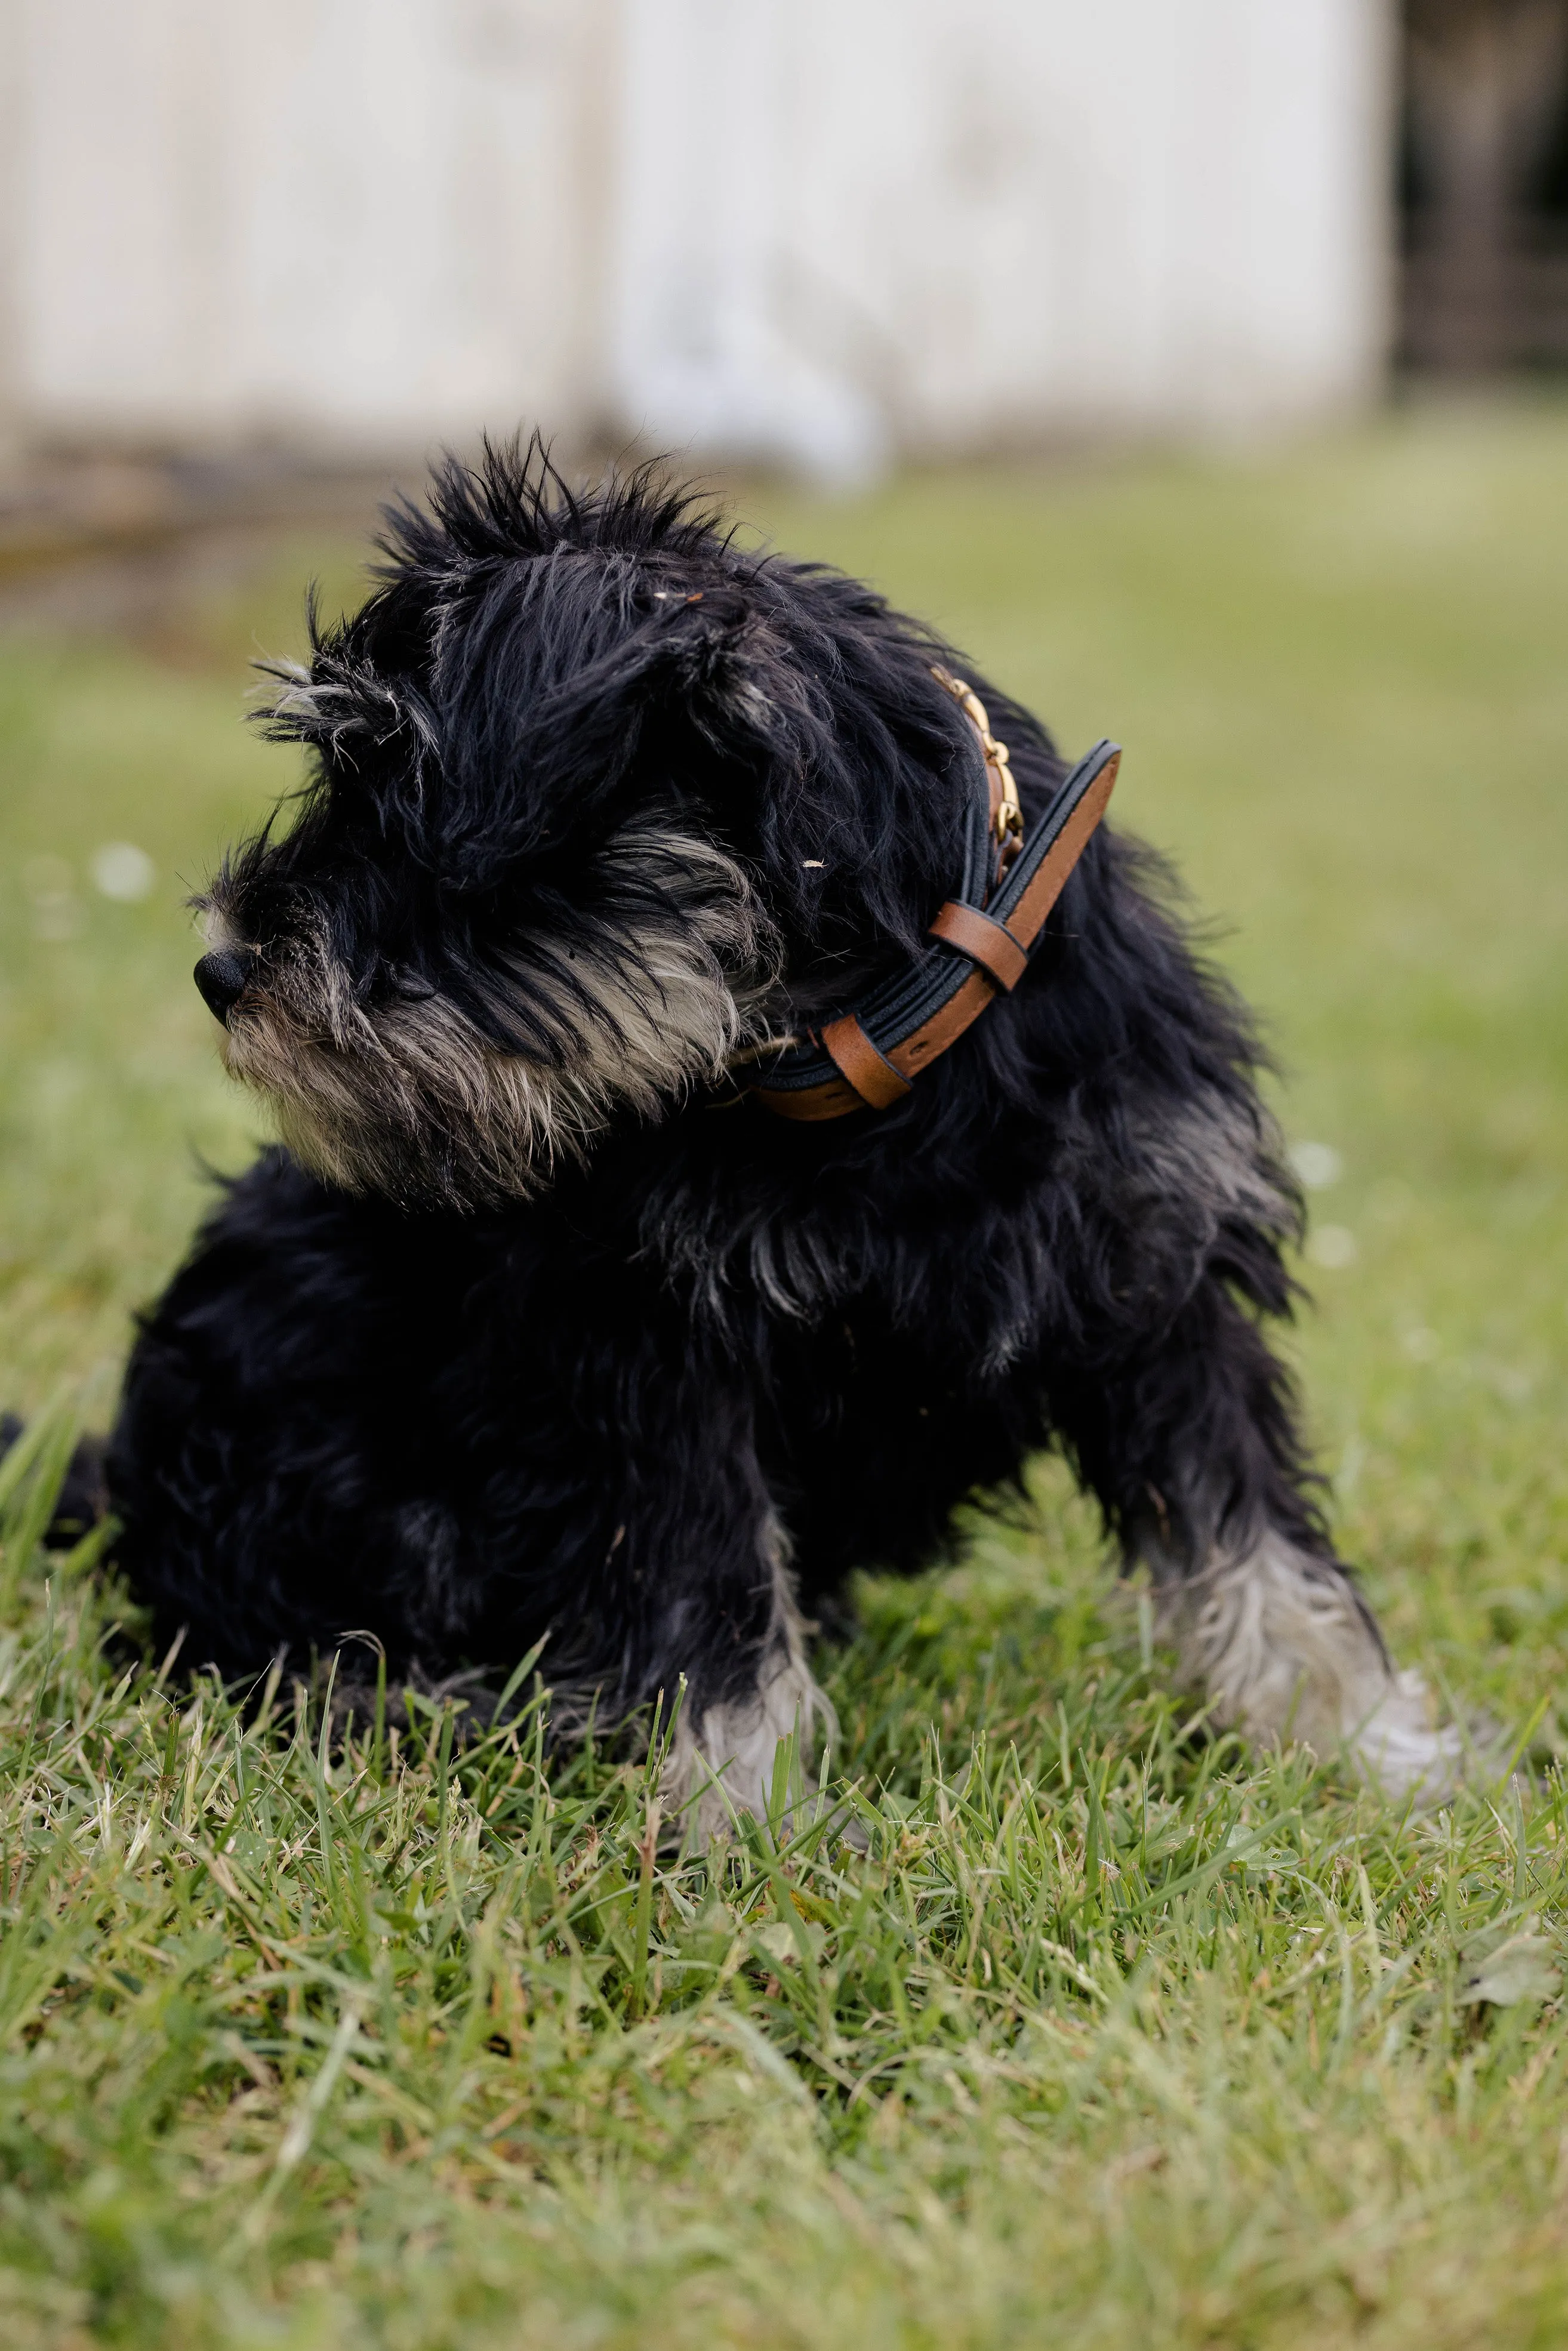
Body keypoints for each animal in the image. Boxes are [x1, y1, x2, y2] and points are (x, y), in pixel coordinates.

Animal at [107, 444, 1457, 1834]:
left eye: (398, 784)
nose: (223, 968)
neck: (868, 1046)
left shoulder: (1159, 1281)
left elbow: (1258, 1544)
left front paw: (1365, 1753)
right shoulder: (656, 1360)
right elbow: (711, 1593)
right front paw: (740, 1810)